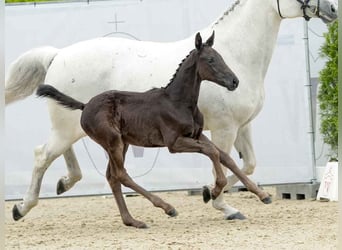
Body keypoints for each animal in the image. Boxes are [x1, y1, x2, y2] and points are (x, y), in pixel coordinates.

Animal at [37, 31, 272, 229]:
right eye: (211, 60)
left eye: (221, 56)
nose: (234, 81)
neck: (178, 101)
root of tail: (85, 106)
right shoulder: (174, 143)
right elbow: (213, 153)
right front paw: (213, 191)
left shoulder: (198, 135)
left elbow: (225, 157)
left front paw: (262, 195)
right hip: (113, 141)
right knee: (121, 174)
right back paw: (166, 208)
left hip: (122, 143)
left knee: (112, 176)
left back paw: (132, 221)